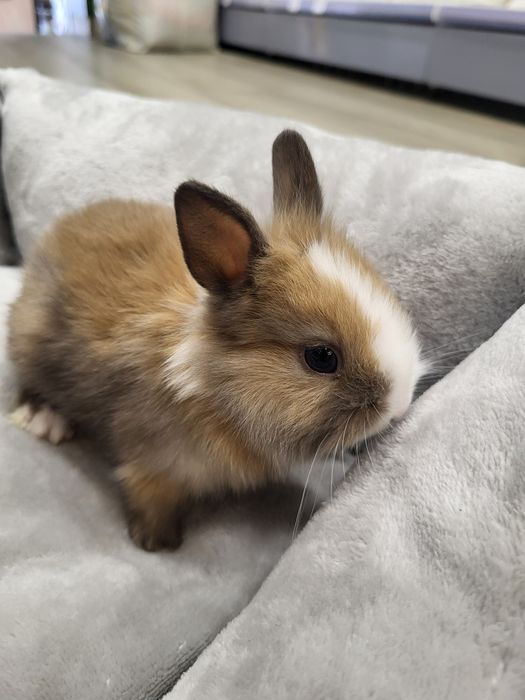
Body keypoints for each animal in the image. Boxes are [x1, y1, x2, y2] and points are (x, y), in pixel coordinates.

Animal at [7, 129, 423, 551]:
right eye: (321, 357)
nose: (400, 405)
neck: (217, 387)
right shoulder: (154, 465)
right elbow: (148, 495)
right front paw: (158, 543)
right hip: (30, 339)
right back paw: (44, 420)